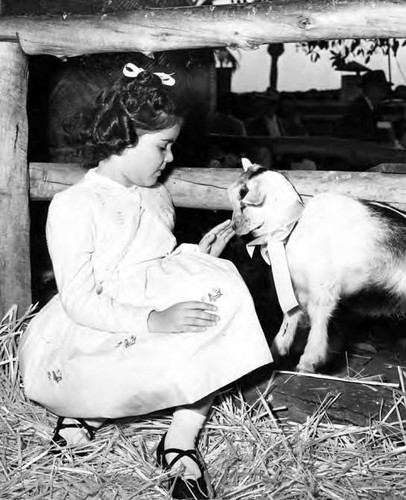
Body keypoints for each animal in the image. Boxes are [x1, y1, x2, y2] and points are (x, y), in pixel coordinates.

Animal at [228, 163, 406, 372]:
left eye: (243, 204)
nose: (233, 227)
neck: (294, 226)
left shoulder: (323, 286)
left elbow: (318, 316)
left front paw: (309, 360)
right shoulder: (295, 285)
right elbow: (291, 314)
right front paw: (278, 349)